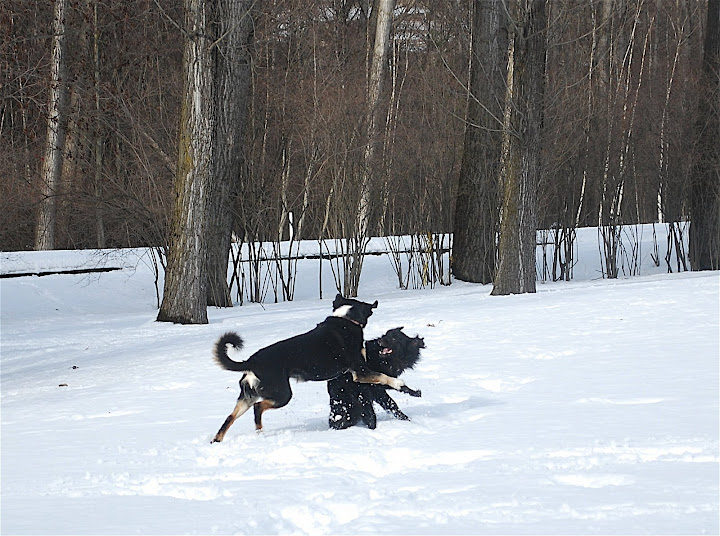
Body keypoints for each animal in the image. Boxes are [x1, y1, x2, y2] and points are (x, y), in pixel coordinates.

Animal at [211, 296, 422, 442]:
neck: (347, 319)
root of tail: (250, 362)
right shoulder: (360, 372)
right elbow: (386, 378)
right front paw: (404, 386)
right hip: (282, 395)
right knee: (258, 408)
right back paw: (259, 432)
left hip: (247, 397)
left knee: (229, 418)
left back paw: (218, 440)